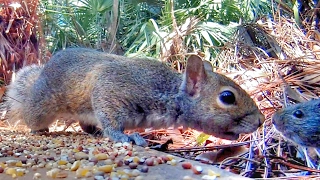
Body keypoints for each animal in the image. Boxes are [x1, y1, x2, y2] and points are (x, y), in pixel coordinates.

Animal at [5, 47, 264, 146]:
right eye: (228, 97)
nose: (261, 120)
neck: (170, 94)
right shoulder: (112, 88)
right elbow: (111, 119)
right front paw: (124, 136)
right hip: (41, 107)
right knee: (31, 115)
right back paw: (38, 128)